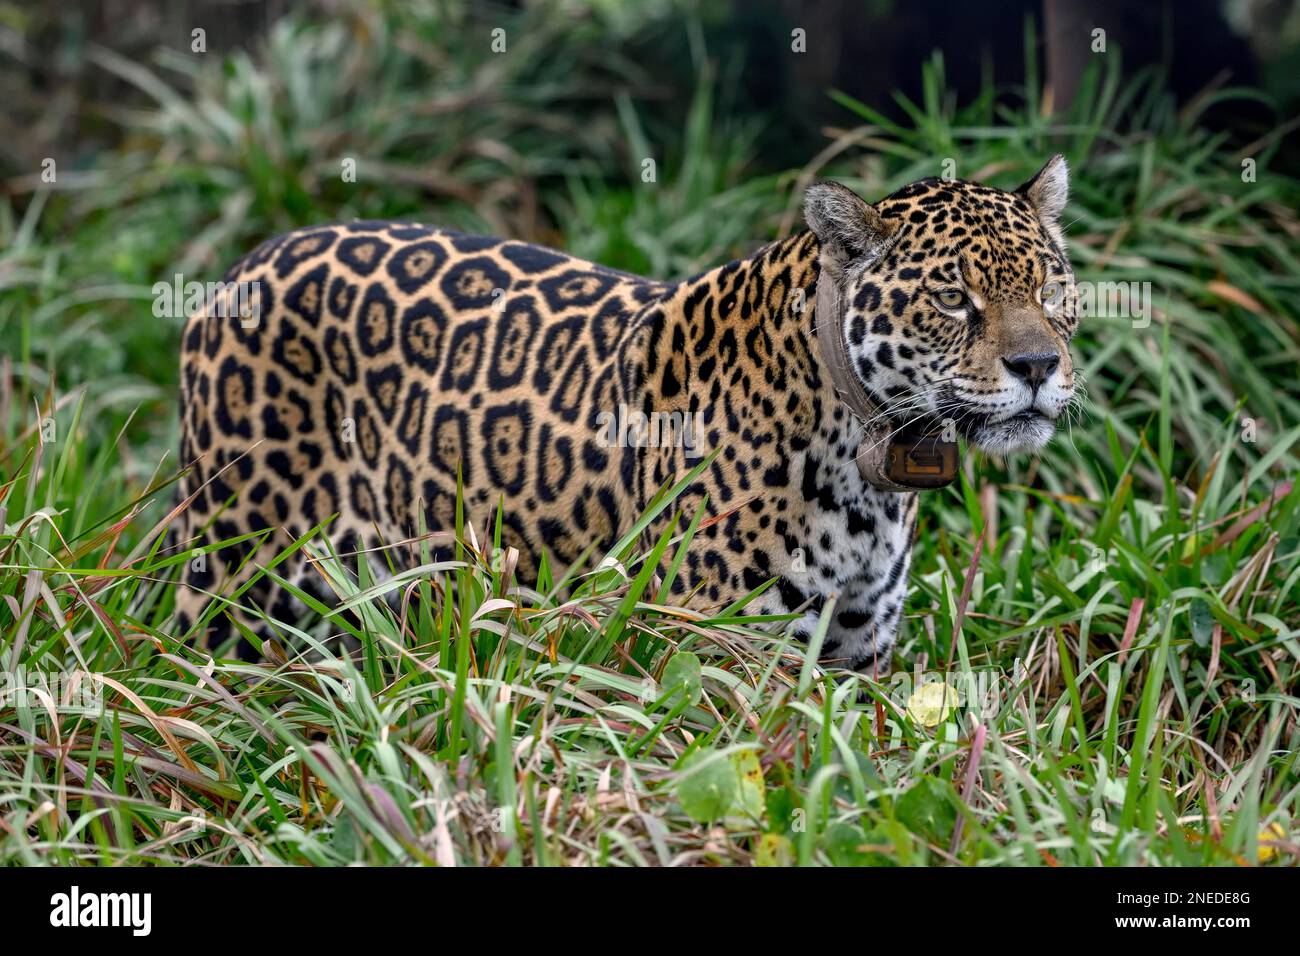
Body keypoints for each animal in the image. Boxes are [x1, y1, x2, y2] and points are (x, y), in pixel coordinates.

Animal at [174, 156, 1077, 670]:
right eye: (953, 299)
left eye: (1049, 289)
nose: (1038, 367)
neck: (868, 461)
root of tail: (246, 264)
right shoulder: (711, 656)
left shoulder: (854, 663)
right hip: (231, 571)